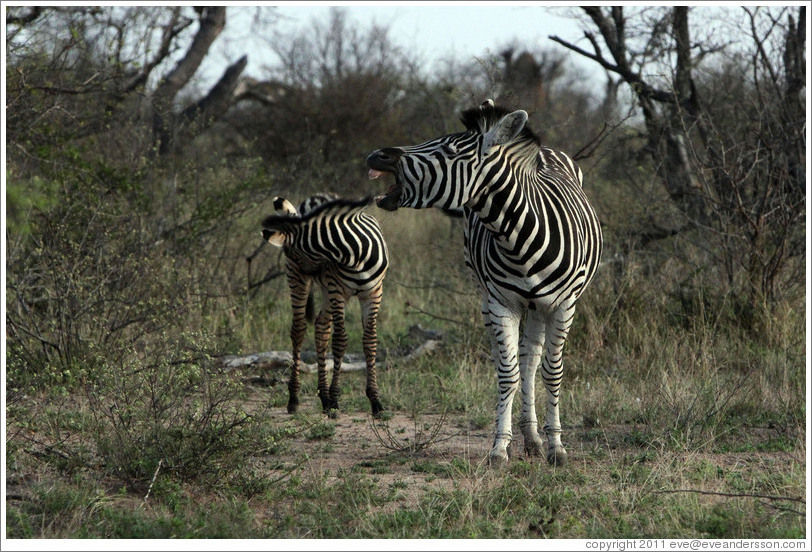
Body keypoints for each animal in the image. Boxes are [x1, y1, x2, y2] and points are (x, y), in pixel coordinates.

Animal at [261, 193, 389, 418]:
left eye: (292, 253)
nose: (315, 273)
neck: (356, 256)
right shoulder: (337, 290)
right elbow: (340, 341)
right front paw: (336, 399)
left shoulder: (373, 293)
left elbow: (370, 341)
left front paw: (375, 401)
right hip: (305, 284)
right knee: (299, 330)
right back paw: (294, 398)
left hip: (326, 290)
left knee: (321, 328)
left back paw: (324, 398)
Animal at [366, 100, 602, 466]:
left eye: (448, 150)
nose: (377, 155)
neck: (518, 238)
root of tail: (547, 150)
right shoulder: (501, 303)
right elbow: (508, 372)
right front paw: (500, 447)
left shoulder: (564, 306)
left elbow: (552, 372)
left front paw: (557, 447)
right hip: (488, 297)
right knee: (516, 360)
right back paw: (528, 438)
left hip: (540, 305)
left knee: (532, 360)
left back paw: (537, 439)